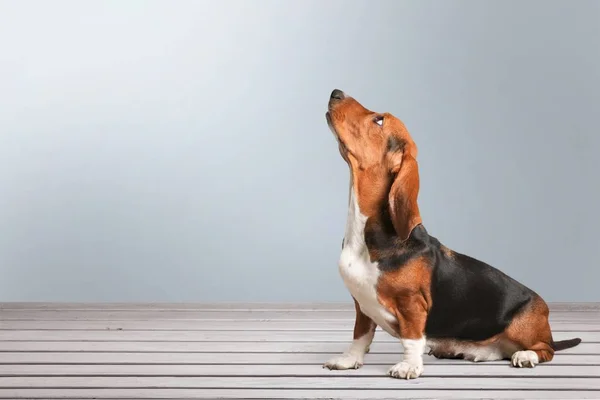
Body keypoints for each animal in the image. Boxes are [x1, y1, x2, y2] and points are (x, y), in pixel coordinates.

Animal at [324, 89, 580, 380]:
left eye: (379, 120)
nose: (335, 93)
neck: (365, 240)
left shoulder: (412, 305)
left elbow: (412, 338)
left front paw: (409, 365)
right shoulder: (361, 307)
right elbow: (360, 335)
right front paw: (348, 360)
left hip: (523, 327)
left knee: (545, 349)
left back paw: (526, 355)